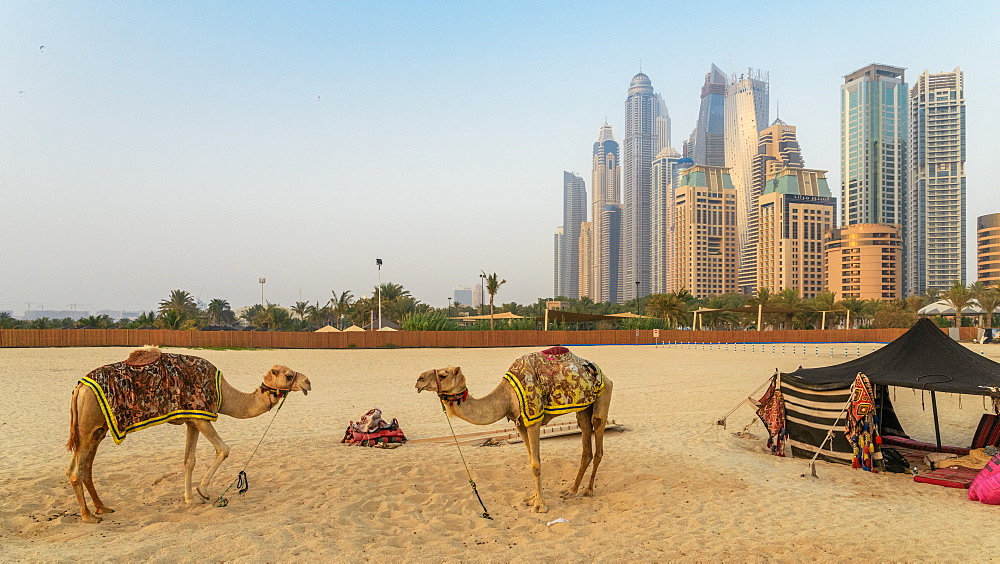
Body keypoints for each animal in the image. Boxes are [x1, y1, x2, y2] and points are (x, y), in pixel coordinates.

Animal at [66, 346, 308, 524]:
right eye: (288, 375)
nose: (308, 382)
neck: (224, 393)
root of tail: (79, 388)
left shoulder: (192, 419)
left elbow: (188, 460)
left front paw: (189, 499)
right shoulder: (202, 416)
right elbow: (223, 449)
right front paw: (203, 491)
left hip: (98, 428)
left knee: (84, 468)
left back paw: (102, 508)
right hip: (88, 424)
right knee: (76, 470)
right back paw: (88, 516)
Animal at [414, 346, 608, 512]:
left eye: (443, 375)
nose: (419, 379)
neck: (506, 397)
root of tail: (600, 372)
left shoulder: (533, 419)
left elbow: (536, 464)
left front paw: (540, 506)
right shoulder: (520, 422)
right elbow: (532, 460)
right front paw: (532, 498)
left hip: (604, 394)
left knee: (598, 439)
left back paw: (588, 490)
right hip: (583, 408)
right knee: (586, 445)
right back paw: (571, 491)